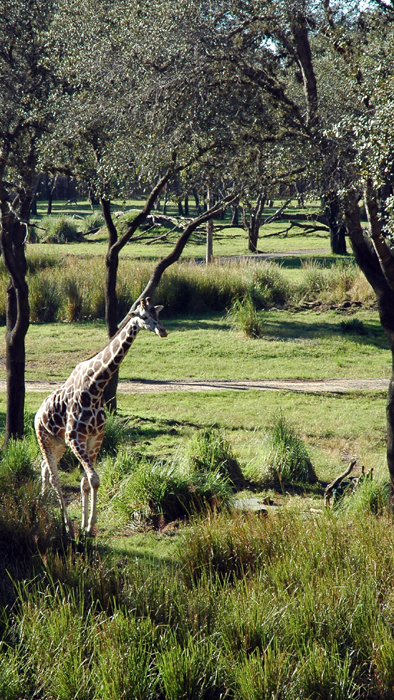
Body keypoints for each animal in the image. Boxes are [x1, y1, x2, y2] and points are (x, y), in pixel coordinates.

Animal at [34, 296, 168, 536]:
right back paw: (65, 525)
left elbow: (87, 482)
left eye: (158, 314)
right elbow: (94, 478)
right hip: (45, 439)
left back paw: (44, 505)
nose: (162, 331)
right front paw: (86, 526)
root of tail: (37, 414)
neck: (95, 387)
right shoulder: (75, 438)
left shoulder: (95, 438)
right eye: (143, 316)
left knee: (44, 469)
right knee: (54, 477)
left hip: (58, 444)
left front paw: (87, 526)